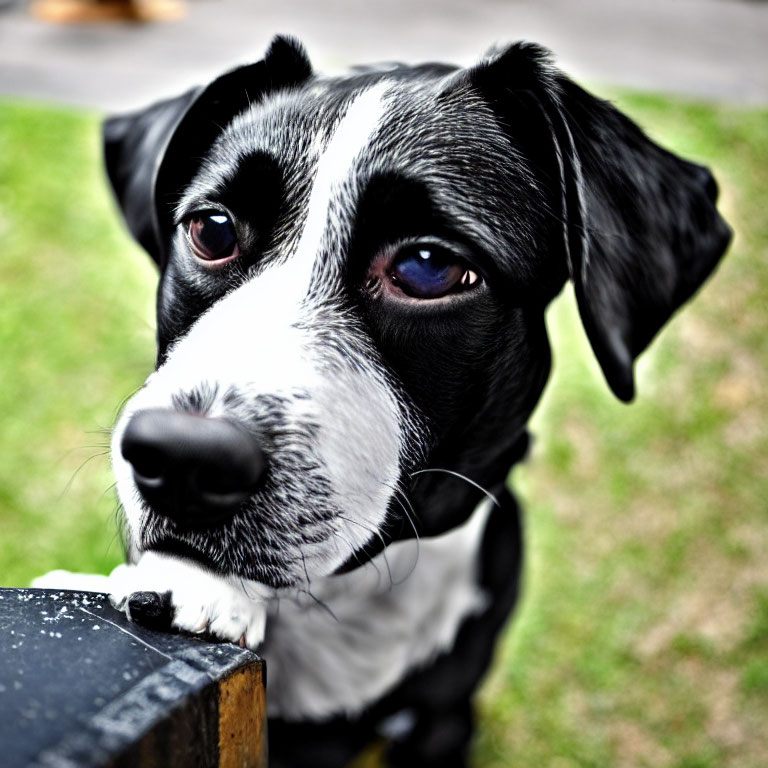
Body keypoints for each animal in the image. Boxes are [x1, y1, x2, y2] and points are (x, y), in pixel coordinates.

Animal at [36, 34, 732, 768]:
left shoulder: (445, 721)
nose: (183, 457)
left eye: (428, 266)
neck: (355, 600)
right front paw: (189, 588)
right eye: (212, 230)